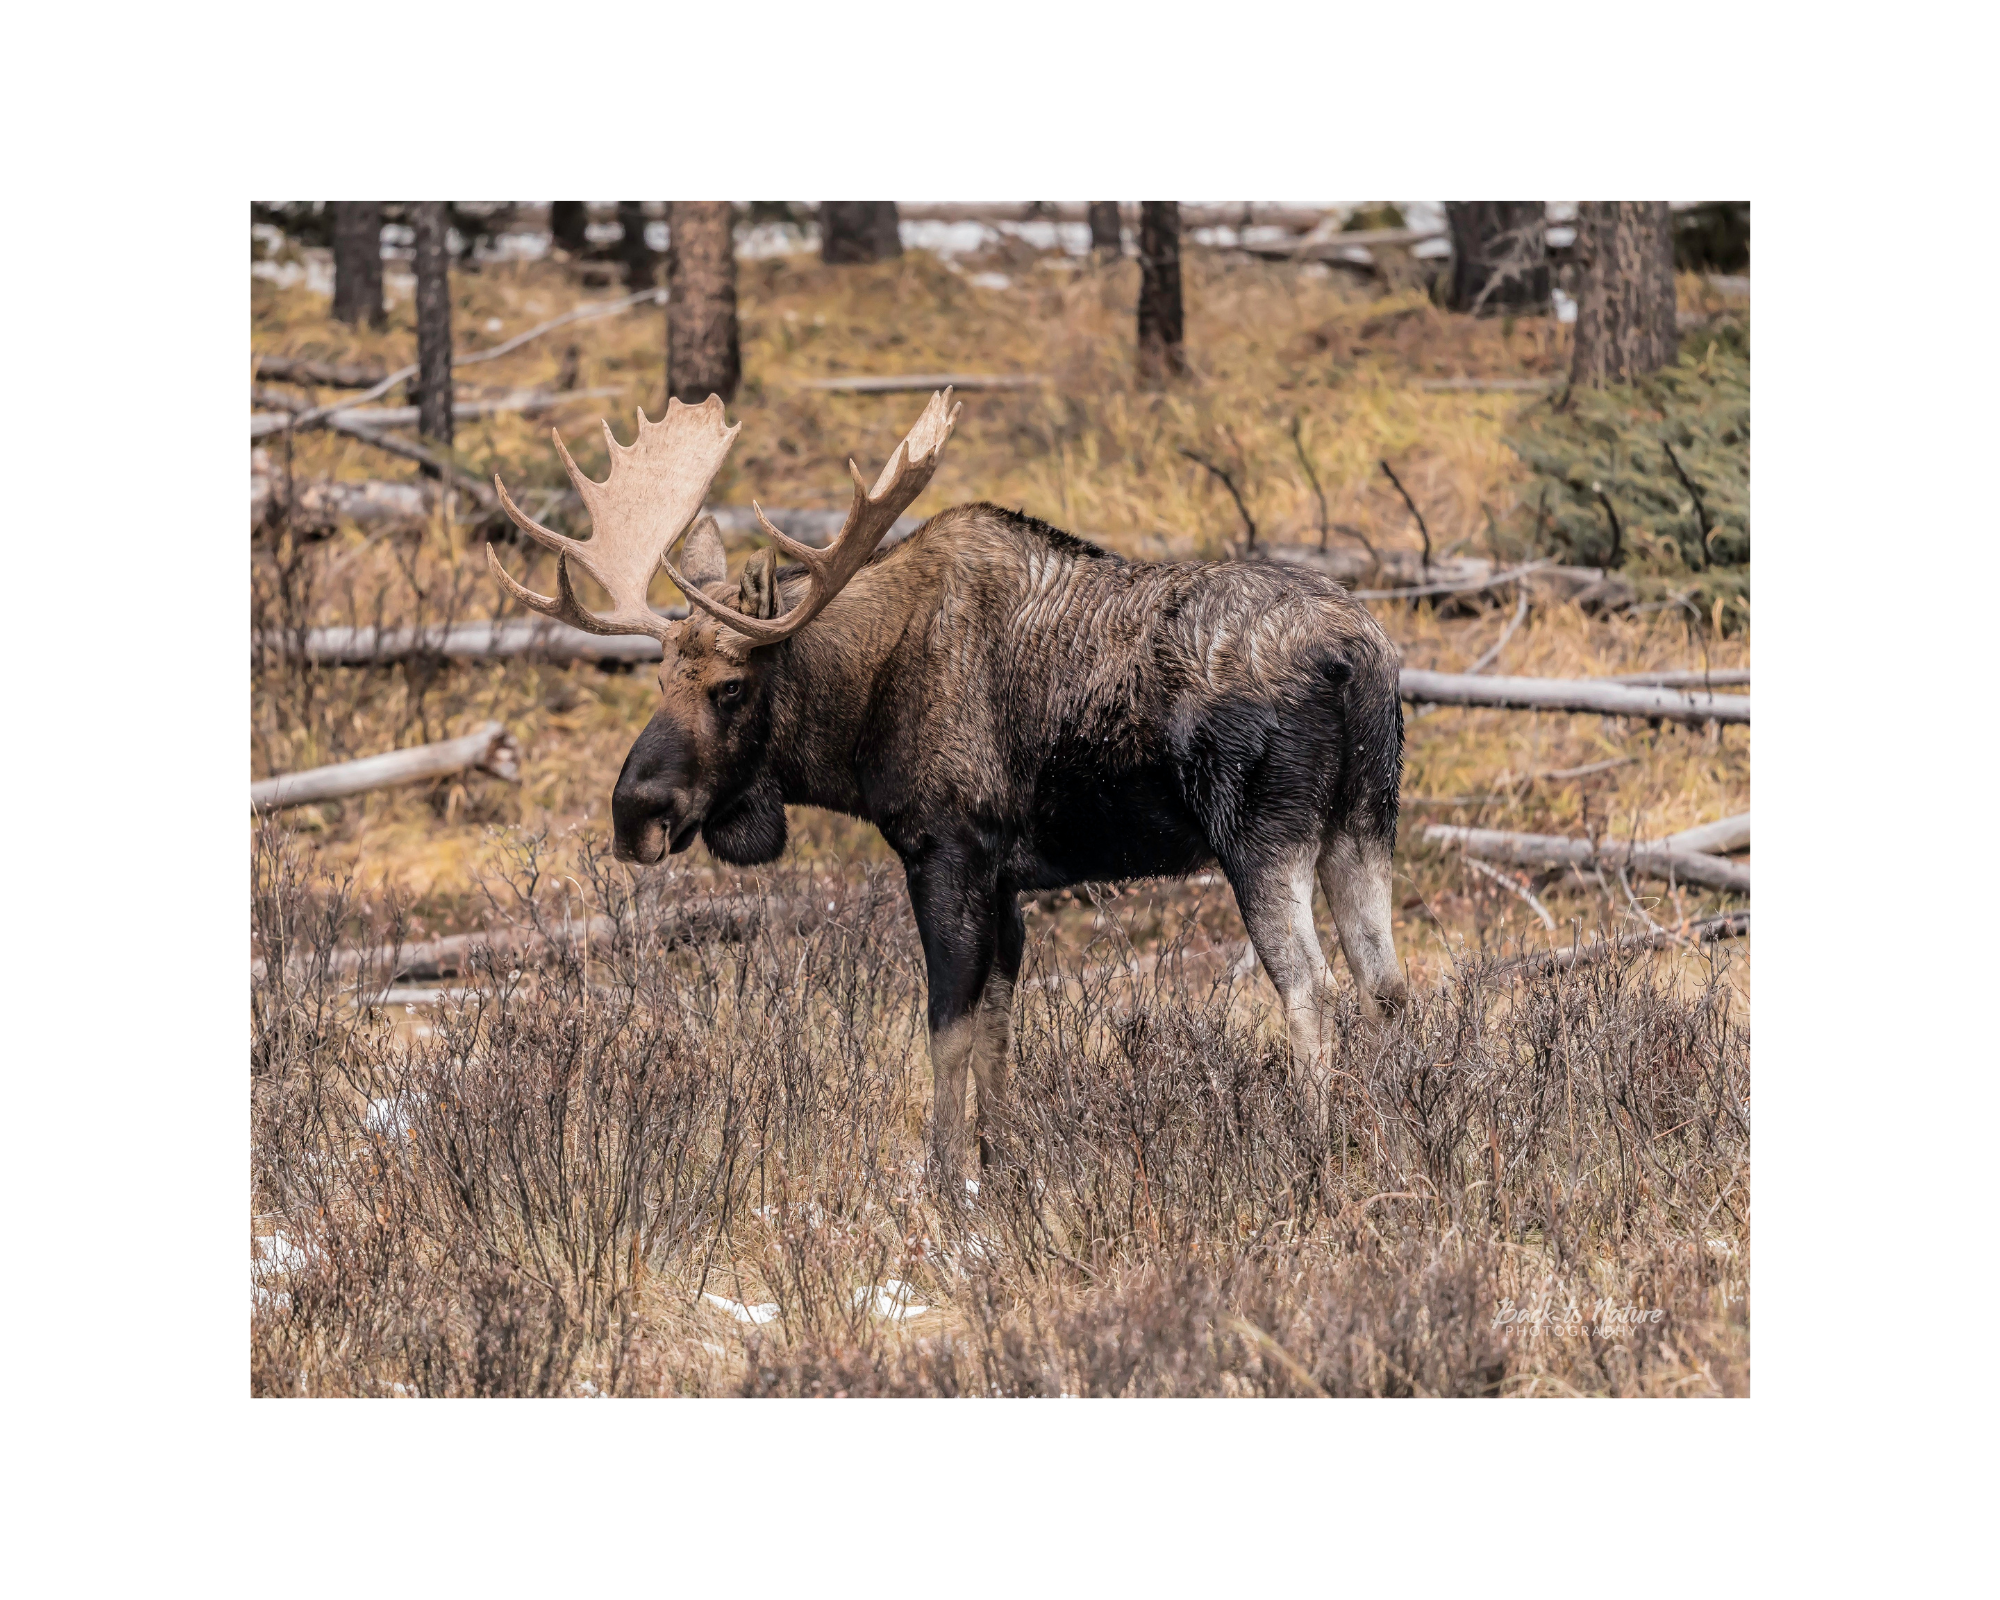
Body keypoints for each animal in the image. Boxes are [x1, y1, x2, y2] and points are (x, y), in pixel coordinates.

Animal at [488, 390, 1408, 1176]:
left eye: (730, 688)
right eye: (656, 679)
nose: (634, 813)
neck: (856, 721)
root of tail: (1352, 656)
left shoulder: (947, 849)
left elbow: (946, 1029)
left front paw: (941, 1178)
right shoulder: (1004, 877)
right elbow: (999, 1023)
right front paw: (999, 1165)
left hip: (1261, 836)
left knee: (1313, 988)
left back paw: (1314, 1154)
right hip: (1362, 822)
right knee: (1386, 986)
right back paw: (1399, 1138)